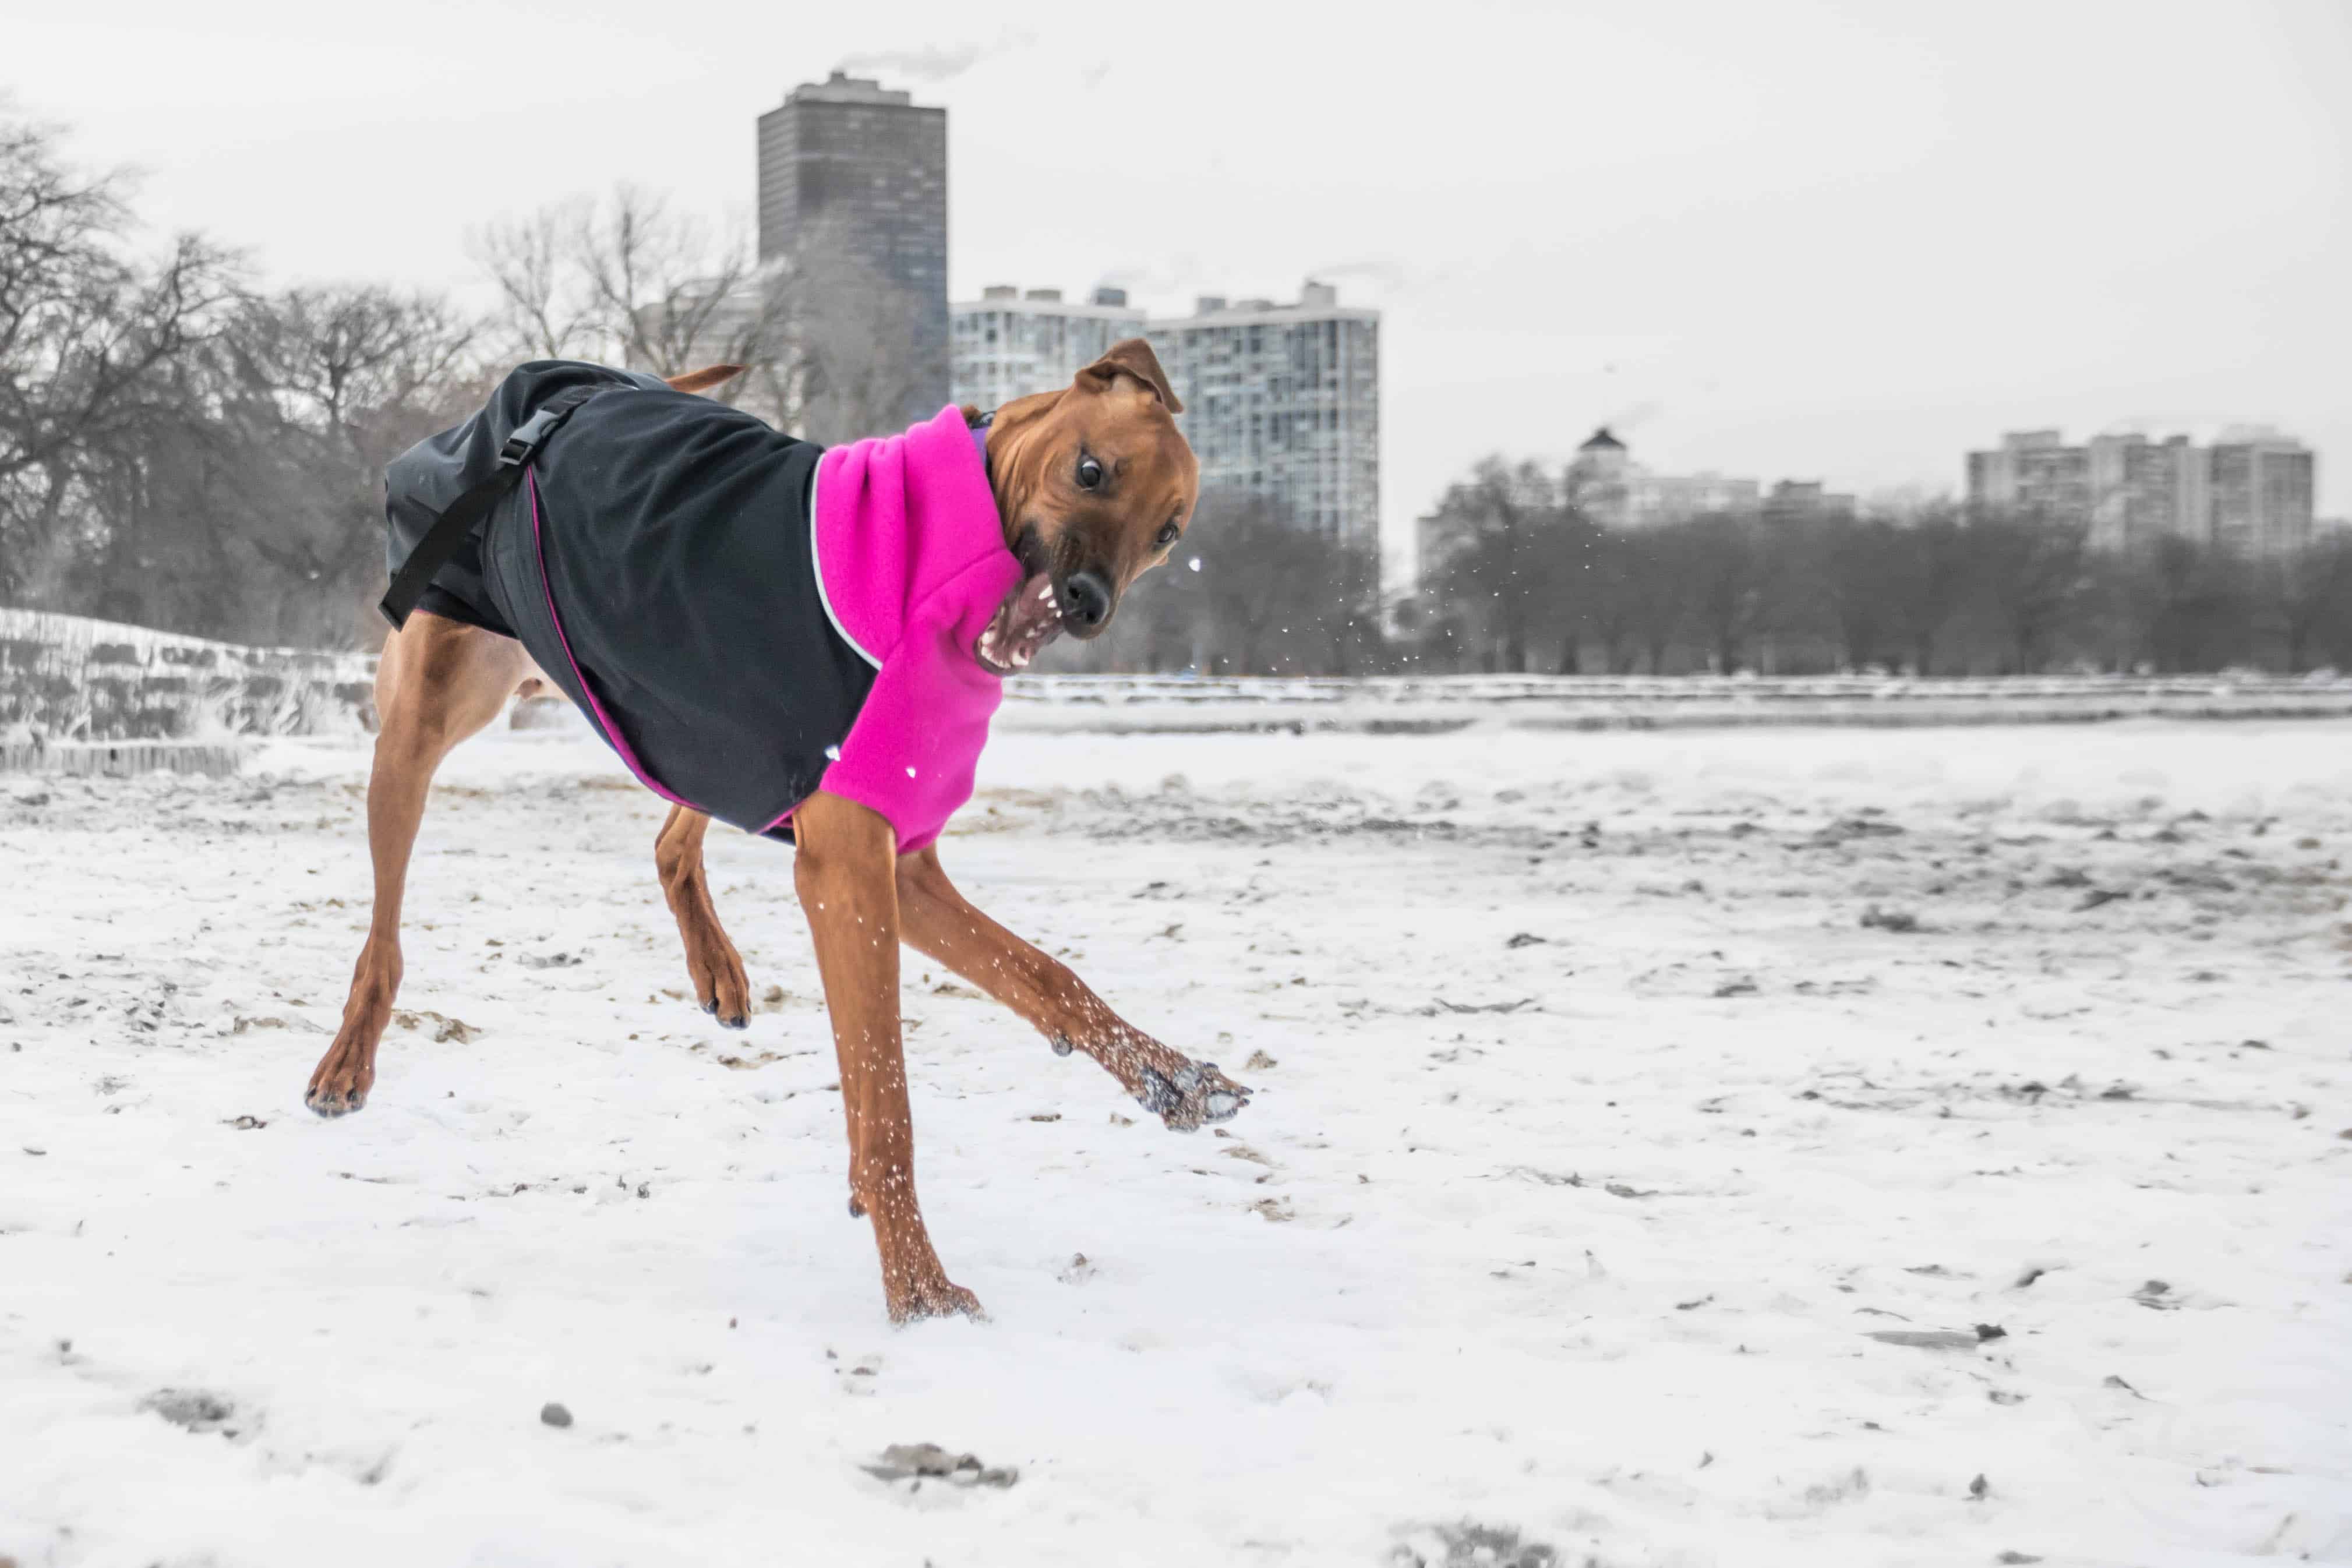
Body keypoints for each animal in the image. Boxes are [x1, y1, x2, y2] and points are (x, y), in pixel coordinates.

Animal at [308, 345, 1251, 1326]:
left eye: (1167, 533)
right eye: (1090, 469)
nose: (1087, 602)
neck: (932, 568)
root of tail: (577, 388)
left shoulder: (894, 866)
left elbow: (1045, 977)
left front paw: (1169, 1076)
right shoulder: (847, 874)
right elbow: (887, 1099)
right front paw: (918, 1290)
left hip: (687, 717)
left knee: (671, 837)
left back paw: (714, 964)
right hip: (424, 719)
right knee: (383, 937)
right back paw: (348, 1058)